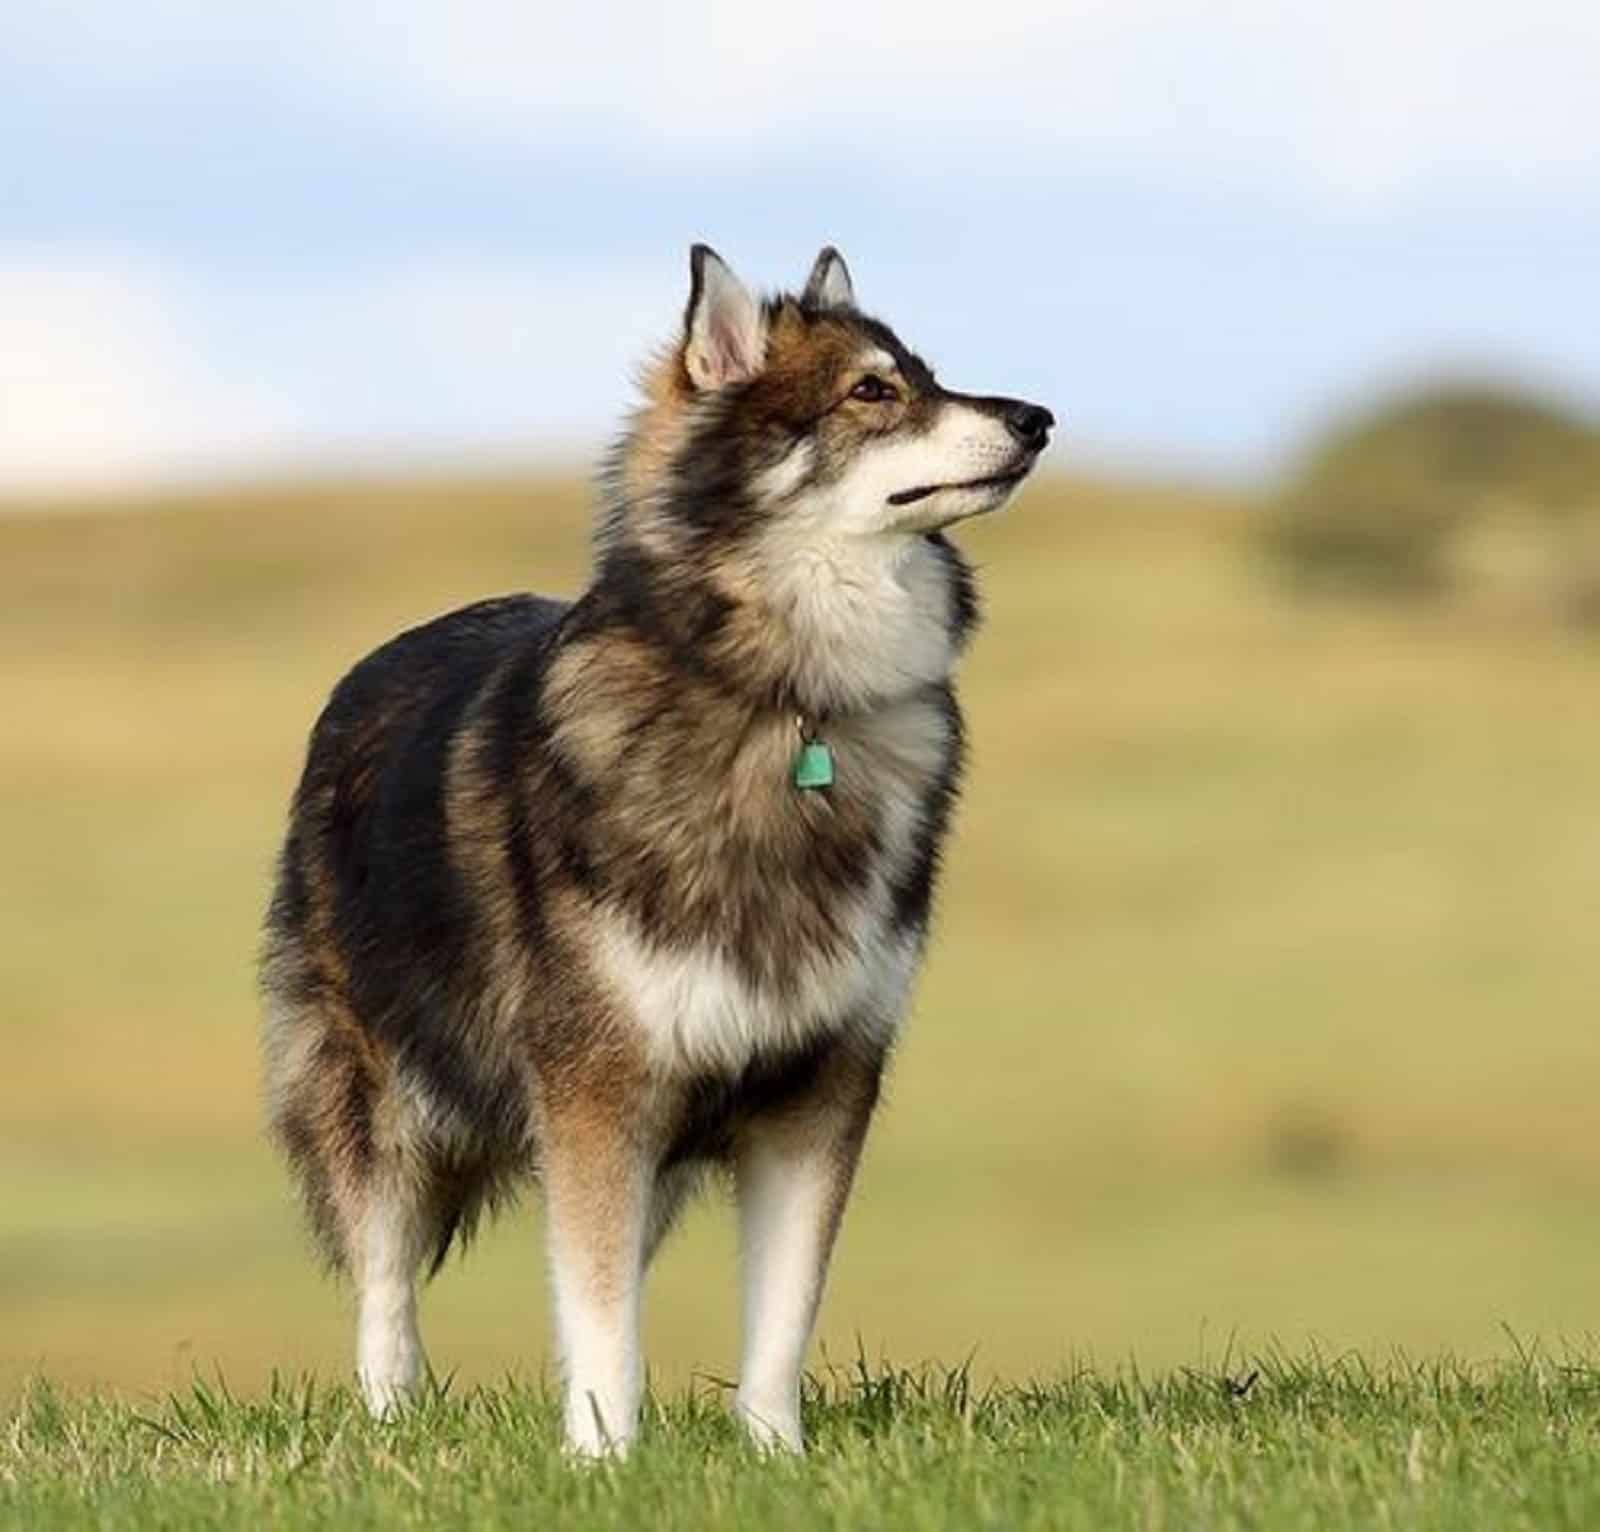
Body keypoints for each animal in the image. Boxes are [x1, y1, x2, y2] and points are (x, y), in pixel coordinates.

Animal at [257, 246, 1056, 1458]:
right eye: (872, 391)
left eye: (925, 374)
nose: (1038, 418)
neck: (788, 703)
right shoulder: (597, 1087)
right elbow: (594, 1306)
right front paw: (602, 1459)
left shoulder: (816, 1087)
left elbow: (777, 1310)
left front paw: (775, 1455)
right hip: (382, 1098)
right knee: (386, 1282)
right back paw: (393, 1424)